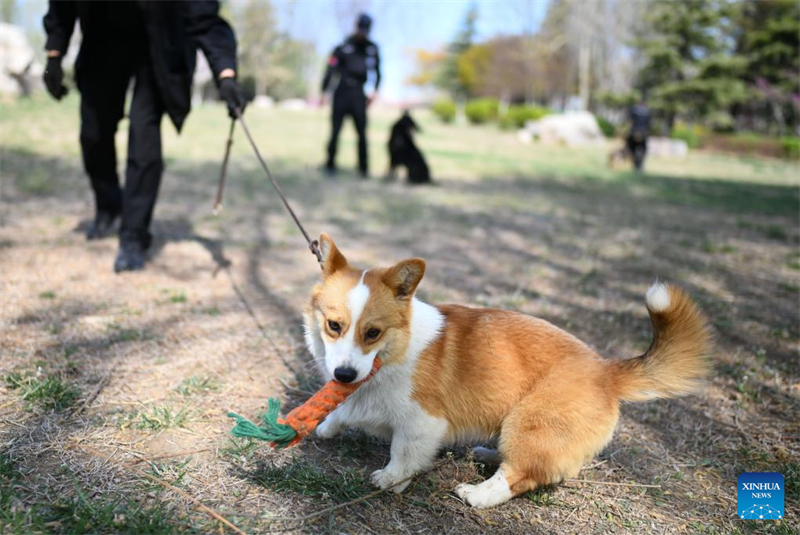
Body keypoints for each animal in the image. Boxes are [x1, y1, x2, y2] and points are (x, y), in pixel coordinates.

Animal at [304, 236, 708, 510]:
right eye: (334, 326)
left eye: (372, 332)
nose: (343, 375)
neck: (393, 353)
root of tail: (607, 370)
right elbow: (340, 411)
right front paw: (326, 426)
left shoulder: (423, 422)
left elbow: (404, 454)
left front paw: (390, 480)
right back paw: (487, 453)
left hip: (529, 423)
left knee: (520, 475)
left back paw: (477, 494)